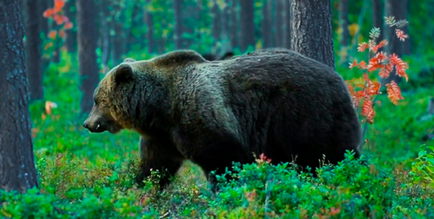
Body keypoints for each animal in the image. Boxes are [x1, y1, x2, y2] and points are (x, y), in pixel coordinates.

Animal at [83, 47, 362, 190]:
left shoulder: (199, 116)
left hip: (305, 114)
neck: (159, 107)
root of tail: (340, 80)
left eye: (96, 99)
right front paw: (139, 187)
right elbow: (155, 165)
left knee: (330, 154)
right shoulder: (163, 137)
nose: (87, 123)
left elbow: (223, 160)